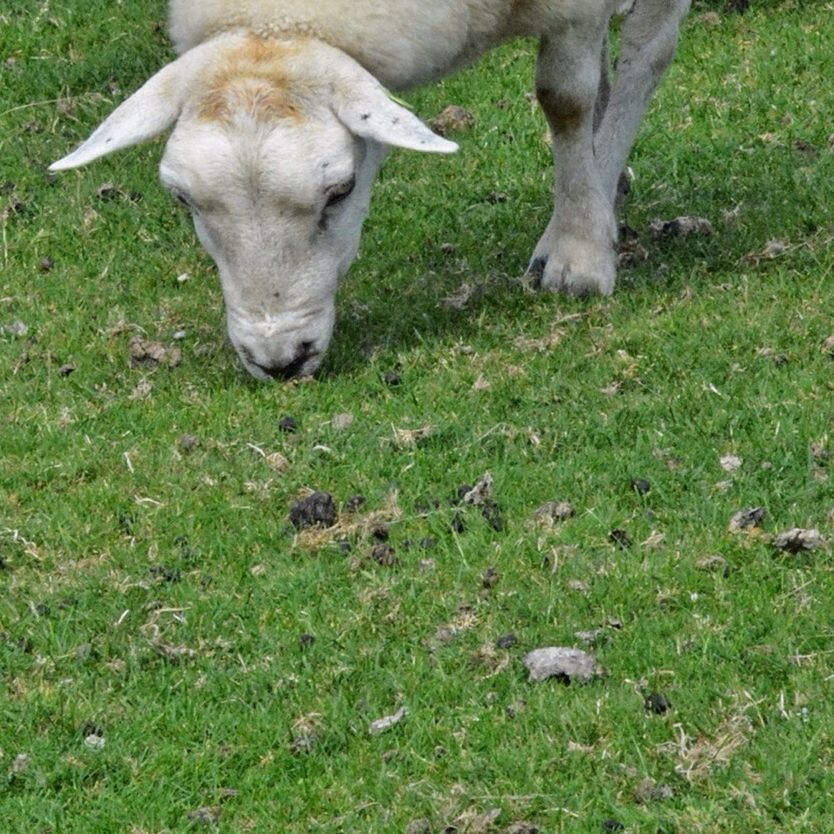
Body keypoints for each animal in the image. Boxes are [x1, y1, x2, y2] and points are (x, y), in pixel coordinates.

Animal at [50, 0, 688, 380]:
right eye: (183, 200)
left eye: (341, 190)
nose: (279, 362)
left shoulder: (574, 10)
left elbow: (566, 99)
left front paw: (579, 255)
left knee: (648, 52)